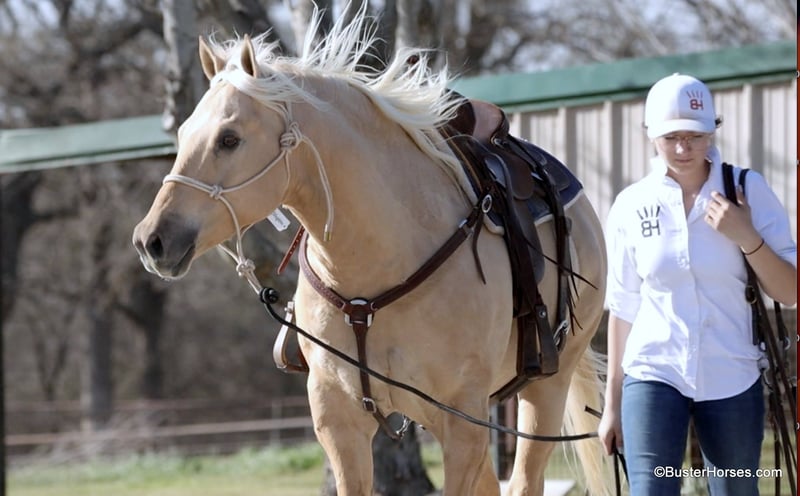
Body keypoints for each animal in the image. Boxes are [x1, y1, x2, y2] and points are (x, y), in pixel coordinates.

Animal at [132, 10, 611, 496]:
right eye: (184, 132)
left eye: (229, 138)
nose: (151, 239)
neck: (382, 258)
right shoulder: (339, 420)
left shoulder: (462, 421)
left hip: (544, 392)